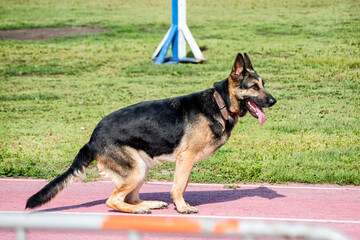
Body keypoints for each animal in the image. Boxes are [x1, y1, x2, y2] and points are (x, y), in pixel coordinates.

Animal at [26, 53, 278, 214]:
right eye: (254, 87)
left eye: (264, 84)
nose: (274, 101)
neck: (220, 102)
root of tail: (92, 139)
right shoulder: (186, 158)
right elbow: (179, 186)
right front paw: (182, 208)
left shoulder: (186, 162)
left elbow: (182, 185)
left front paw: (178, 205)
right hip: (135, 170)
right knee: (112, 201)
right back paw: (139, 210)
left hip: (141, 168)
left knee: (130, 197)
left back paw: (149, 204)